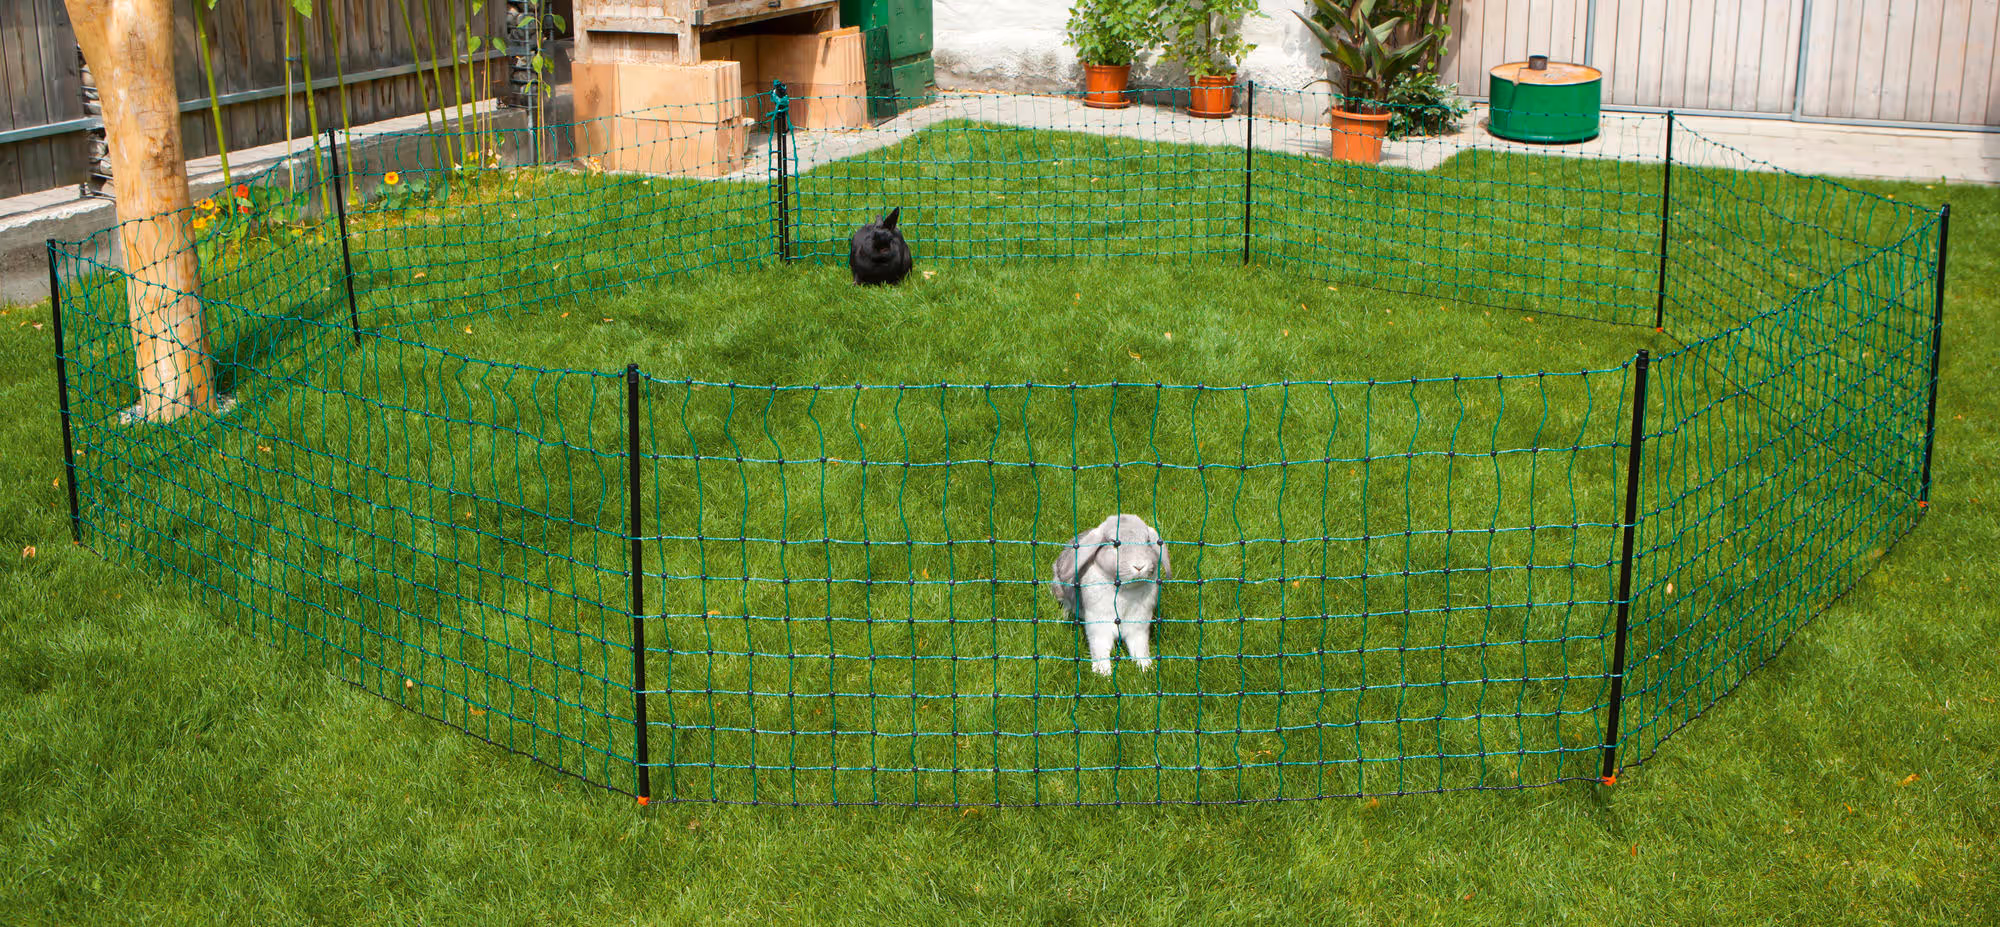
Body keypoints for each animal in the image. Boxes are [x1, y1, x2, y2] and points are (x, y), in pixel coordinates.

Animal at [1048, 514, 1172, 676]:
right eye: (1114, 543)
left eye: (1147, 541)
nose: (1139, 566)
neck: (1125, 590)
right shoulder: (1099, 625)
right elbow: (1100, 648)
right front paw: (1103, 672)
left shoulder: (1139, 626)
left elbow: (1140, 648)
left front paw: (1146, 668)